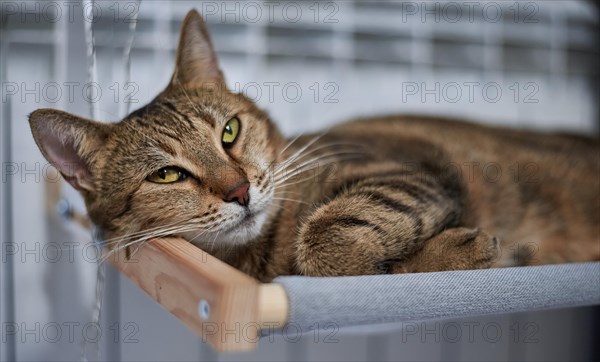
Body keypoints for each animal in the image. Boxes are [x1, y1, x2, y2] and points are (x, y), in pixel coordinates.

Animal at [29, 7, 600, 280]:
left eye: (229, 131)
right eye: (167, 174)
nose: (239, 191)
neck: (261, 259)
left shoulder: (407, 171)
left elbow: (328, 238)